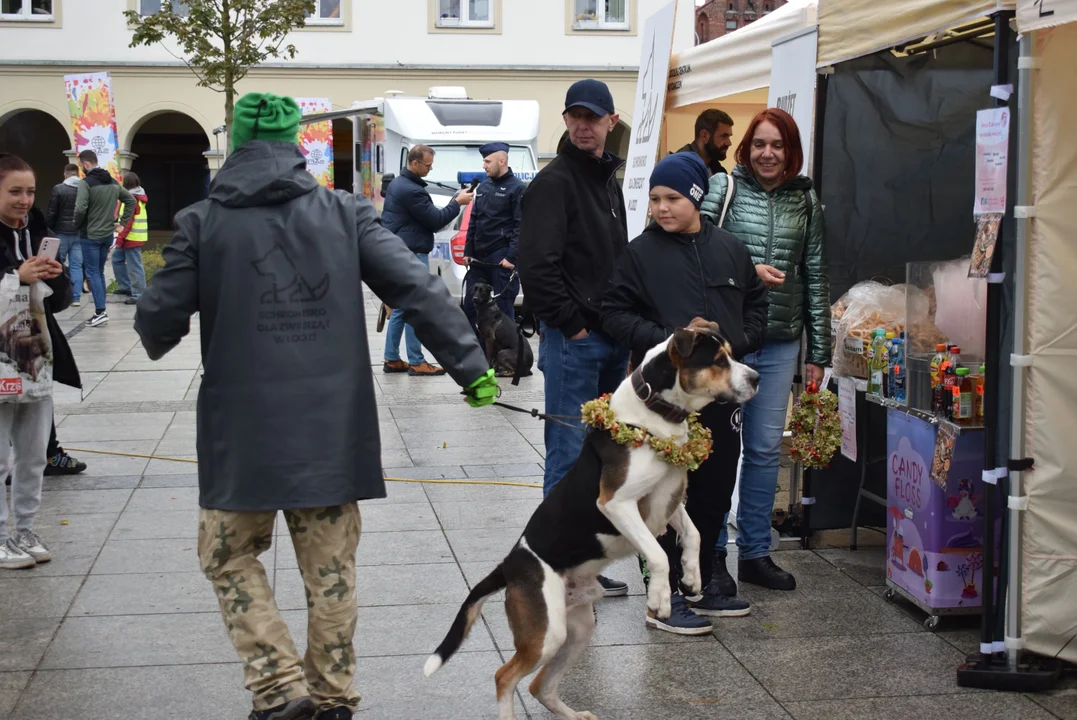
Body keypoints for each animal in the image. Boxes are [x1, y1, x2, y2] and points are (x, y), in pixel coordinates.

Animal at [424, 318, 762, 718]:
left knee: (539, 685)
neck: (655, 415)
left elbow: (692, 535)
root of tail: (509, 565)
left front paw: (693, 578)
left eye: (732, 355)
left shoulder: (669, 499)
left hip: (577, 627)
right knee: (504, 676)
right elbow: (658, 554)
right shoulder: (617, 503)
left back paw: (573, 714)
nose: (757, 377)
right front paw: (661, 598)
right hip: (547, 632)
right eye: (719, 361)